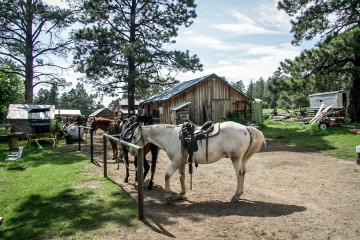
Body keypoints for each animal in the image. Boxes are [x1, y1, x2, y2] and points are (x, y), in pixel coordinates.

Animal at [131, 121, 266, 202]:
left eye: (133, 136)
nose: (132, 152)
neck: (170, 137)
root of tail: (245, 128)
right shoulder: (181, 162)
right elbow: (182, 177)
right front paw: (181, 193)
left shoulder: (175, 161)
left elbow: (167, 175)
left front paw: (167, 194)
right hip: (241, 159)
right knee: (243, 174)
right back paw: (240, 193)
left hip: (236, 158)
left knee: (239, 175)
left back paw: (236, 195)